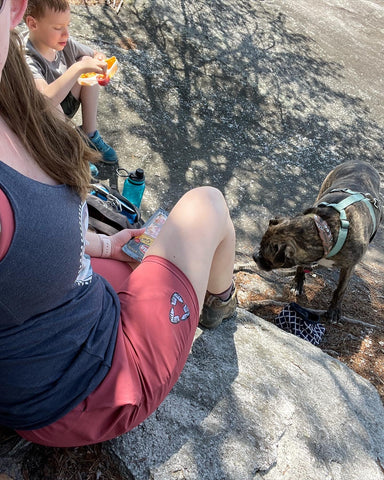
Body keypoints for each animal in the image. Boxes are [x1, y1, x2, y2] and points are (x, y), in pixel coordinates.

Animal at [254, 161, 382, 322]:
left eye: (267, 257)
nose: (254, 256)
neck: (326, 230)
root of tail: (362, 162)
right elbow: (300, 267)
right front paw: (297, 283)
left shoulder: (349, 267)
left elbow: (340, 289)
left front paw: (334, 310)